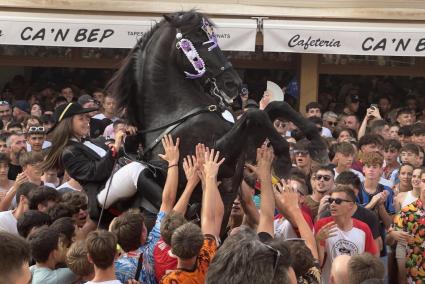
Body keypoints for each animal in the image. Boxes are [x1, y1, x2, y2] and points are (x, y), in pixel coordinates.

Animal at [107, 11, 328, 227]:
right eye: (197, 38)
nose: (233, 83)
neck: (175, 112)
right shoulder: (216, 157)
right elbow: (255, 113)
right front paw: (283, 158)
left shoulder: (246, 148)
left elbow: (273, 108)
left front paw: (318, 145)